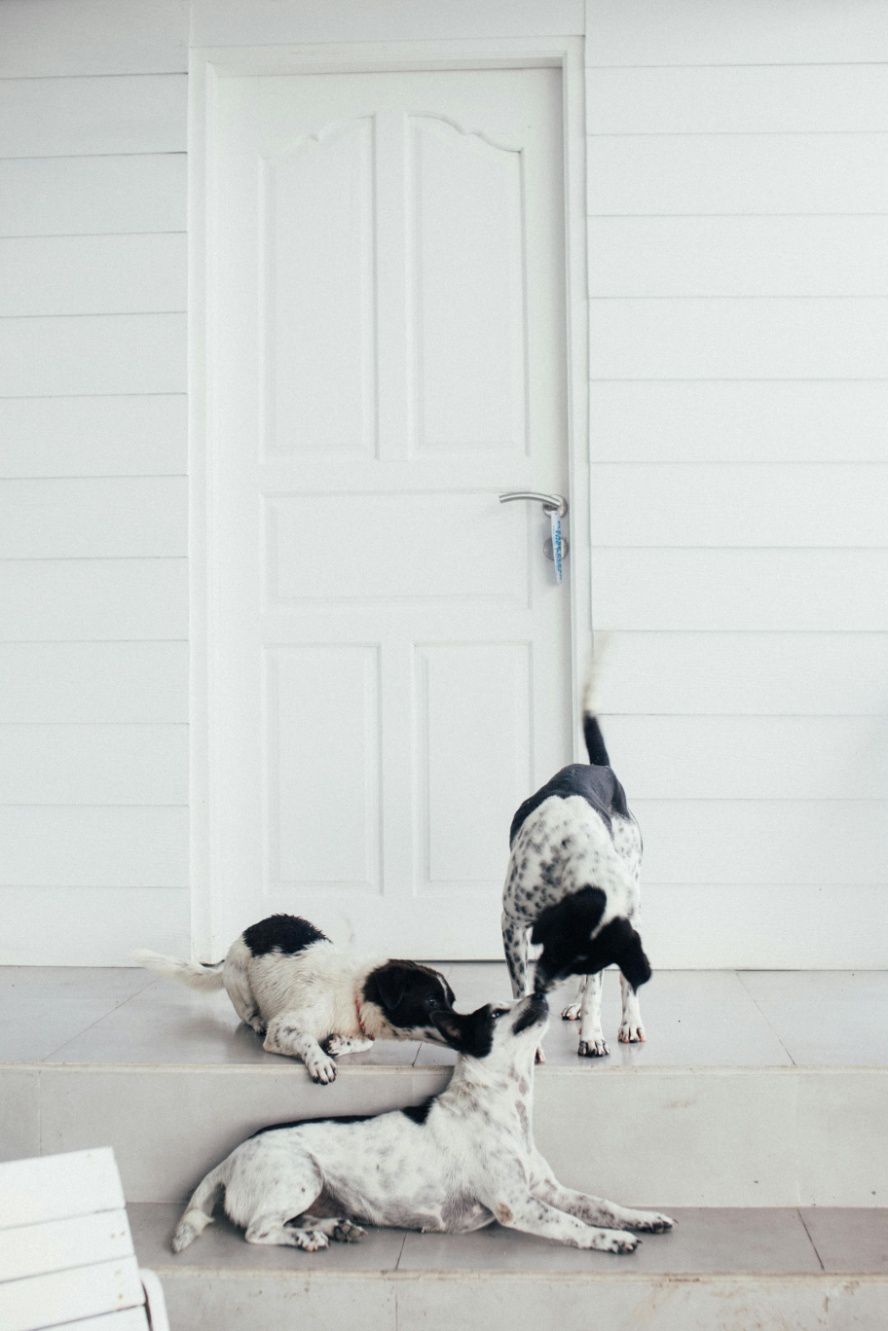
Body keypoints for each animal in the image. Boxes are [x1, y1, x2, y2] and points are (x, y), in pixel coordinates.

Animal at [134, 910, 455, 1086]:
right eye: (431, 1001)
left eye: (450, 1001)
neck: (354, 991)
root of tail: (248, 931)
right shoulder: (283, 1028)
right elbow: (307, 1039)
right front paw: (321, 1061)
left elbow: (365, 1042)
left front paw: (341, 1044)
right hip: (241, 986)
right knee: (249, 1015)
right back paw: (257, 1021)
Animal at [170, 1000, 673, 1256]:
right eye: (495, 1013)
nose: (540, 993)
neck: (503, 1105)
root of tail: (228, 1160)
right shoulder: (519, 1204)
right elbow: (574, 1224)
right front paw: (611, 1239)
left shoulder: (548, 1189)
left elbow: (600, 1204)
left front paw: (643, 1218)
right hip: (301, 1175)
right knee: (257, 1231)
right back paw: (307, 1237)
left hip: (312, 1190)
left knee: (292, 1218)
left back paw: (335, 1227)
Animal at [500, 681, 652, 1054]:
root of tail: (602, 768)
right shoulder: (512, 925)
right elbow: (520, 987)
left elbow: (597, 988)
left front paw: (591, 1036)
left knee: (624, 986)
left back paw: (629, 1022)